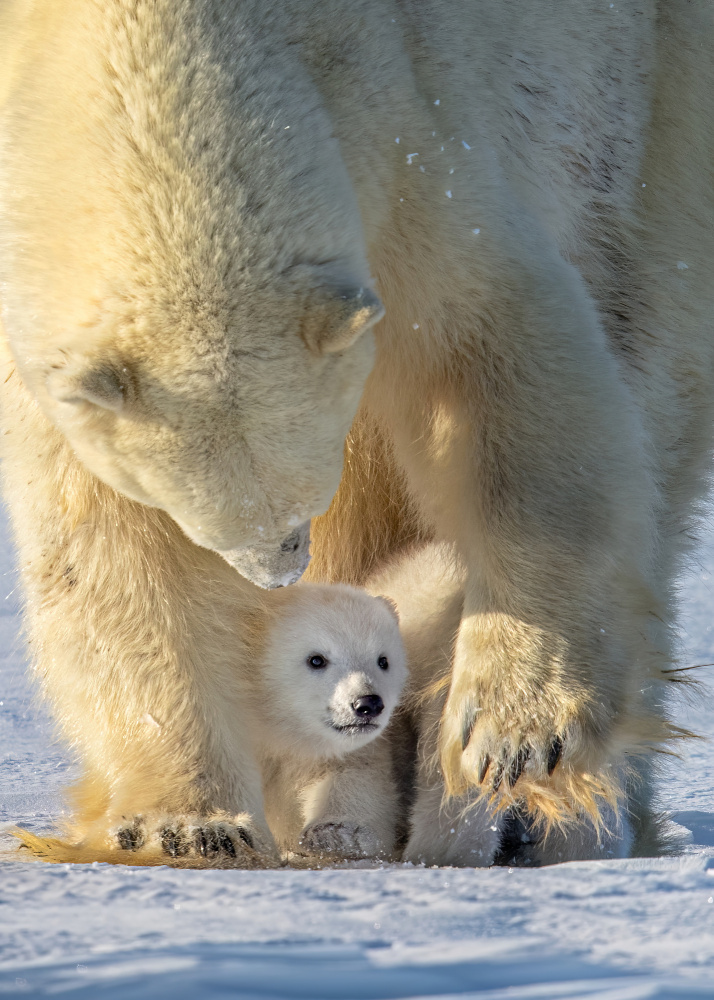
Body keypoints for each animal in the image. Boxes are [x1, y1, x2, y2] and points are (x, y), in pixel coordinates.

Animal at [0, 0, 708, 860]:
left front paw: (514, 732)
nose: (277, 574)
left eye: (296, 499)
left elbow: (501, 357)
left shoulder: (406, 137)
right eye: (192, 514)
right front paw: (193, 825)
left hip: (652, 133)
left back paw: (555, 826)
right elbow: (106, 547)